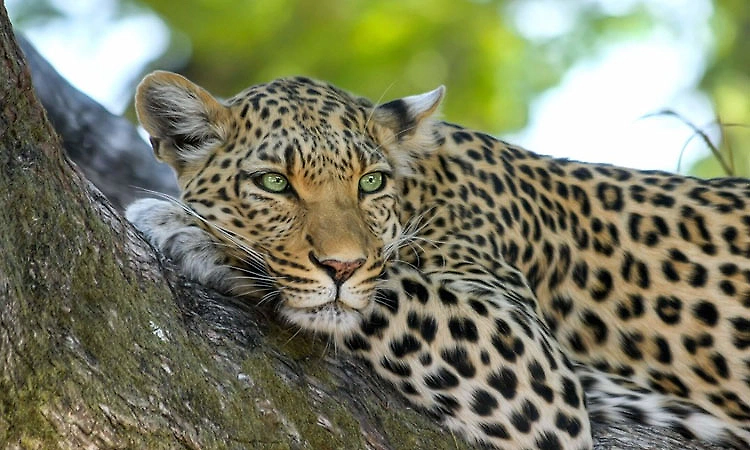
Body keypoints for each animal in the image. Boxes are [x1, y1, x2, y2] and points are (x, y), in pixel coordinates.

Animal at [126, 70, 750, 450]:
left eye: (370, 182)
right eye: (274, 182)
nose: (342, 268)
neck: (423, 189)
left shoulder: (533, 364)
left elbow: (393, 286)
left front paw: (187, 230)